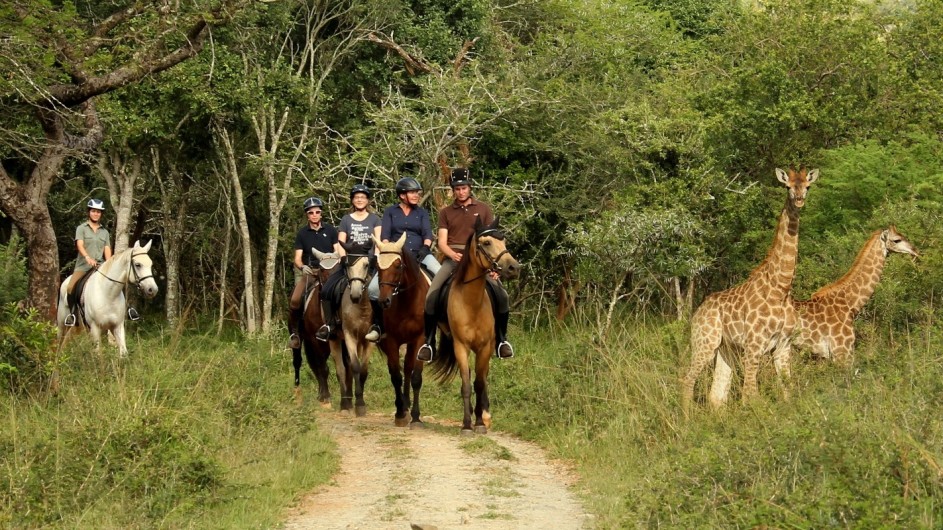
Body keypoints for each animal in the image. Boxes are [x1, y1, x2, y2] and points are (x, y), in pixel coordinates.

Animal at [294, 249, 348, 408]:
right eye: (322, 270)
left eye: (339, 268)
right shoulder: (315, 340)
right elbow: (322, 368)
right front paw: (326, 397)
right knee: (299, 362)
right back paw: (298, 394)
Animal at [372, 231, 428, 424]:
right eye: (378, 266)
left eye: (398, 265)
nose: (384, 301)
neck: (407, 300)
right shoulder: (391, 340)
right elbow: (396, 376)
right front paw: (400, 413)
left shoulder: (420, 339)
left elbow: (416, 377)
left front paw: (416, 417)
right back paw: (404, 405)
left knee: (409, 369)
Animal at [432, 218, 520, 434]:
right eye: (486, 243)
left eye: (503, 240)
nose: (513, 267)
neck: (471, 302)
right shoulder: (460, 346)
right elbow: (466, 385)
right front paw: (466, 424)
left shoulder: (484, 347)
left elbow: (479, 383)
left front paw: (480, 422)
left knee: (483, 377)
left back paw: (485, 414)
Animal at [680, 166, 820, 412]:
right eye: (787, 186)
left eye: (808, 186)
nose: (799, 199)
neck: (781, 289)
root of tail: (698, 311)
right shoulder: (754, 345)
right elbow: (750, 396)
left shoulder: (783, 345)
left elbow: (787, 390)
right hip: (705, 341)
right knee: (688, 380)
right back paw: (686, 418)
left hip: (726, 349)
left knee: (716, 395)